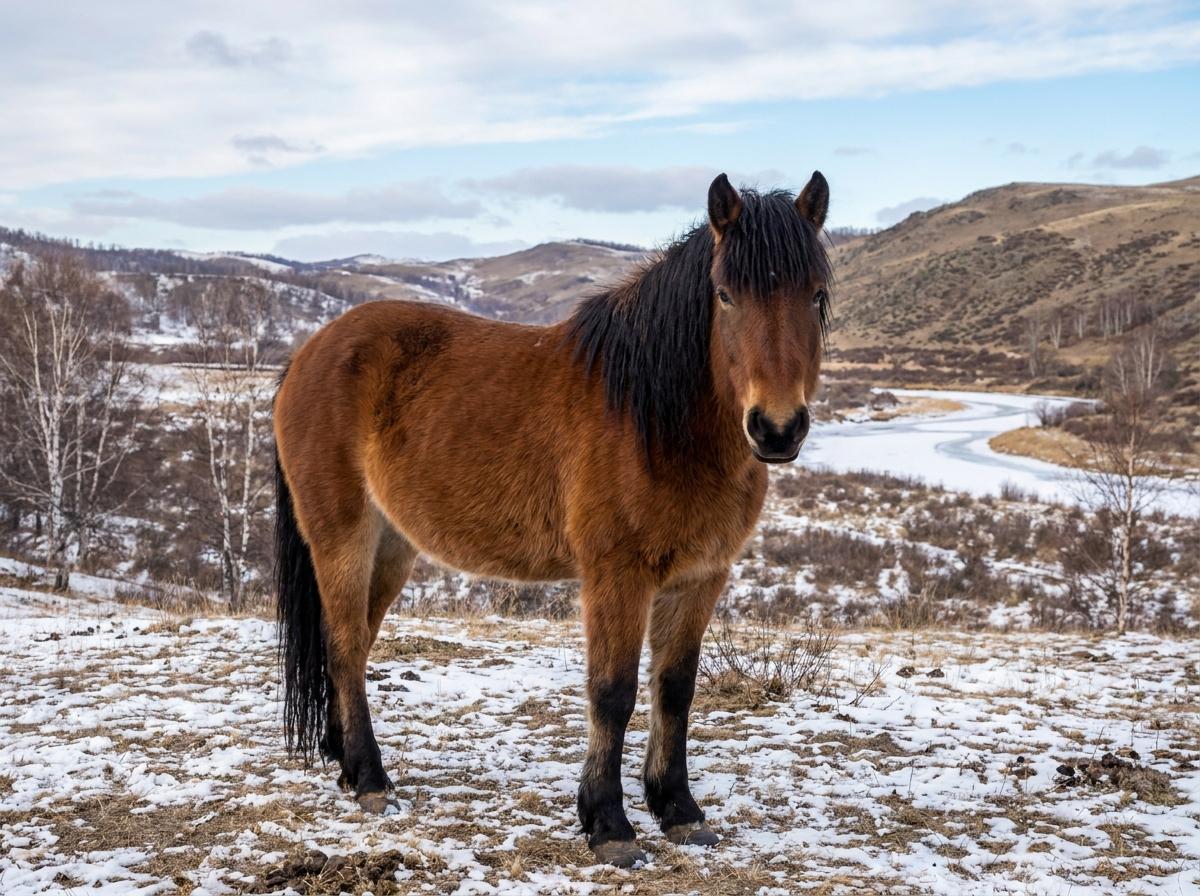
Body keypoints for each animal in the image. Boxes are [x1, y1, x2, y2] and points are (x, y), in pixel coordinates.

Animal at [273, 171, 833, 867]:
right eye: (726, 295)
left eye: (815, 295)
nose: (777, 429)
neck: (657, 419)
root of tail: (308, 353)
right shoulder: (617, 576)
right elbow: (613, 693)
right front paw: (609, 823)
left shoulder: (700, 578)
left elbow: (675, 688)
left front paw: (677, 809)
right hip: (342, 536)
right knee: (347, 645)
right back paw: (373, 781)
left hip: (392, 545)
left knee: (346, 643)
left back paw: (345, 763)